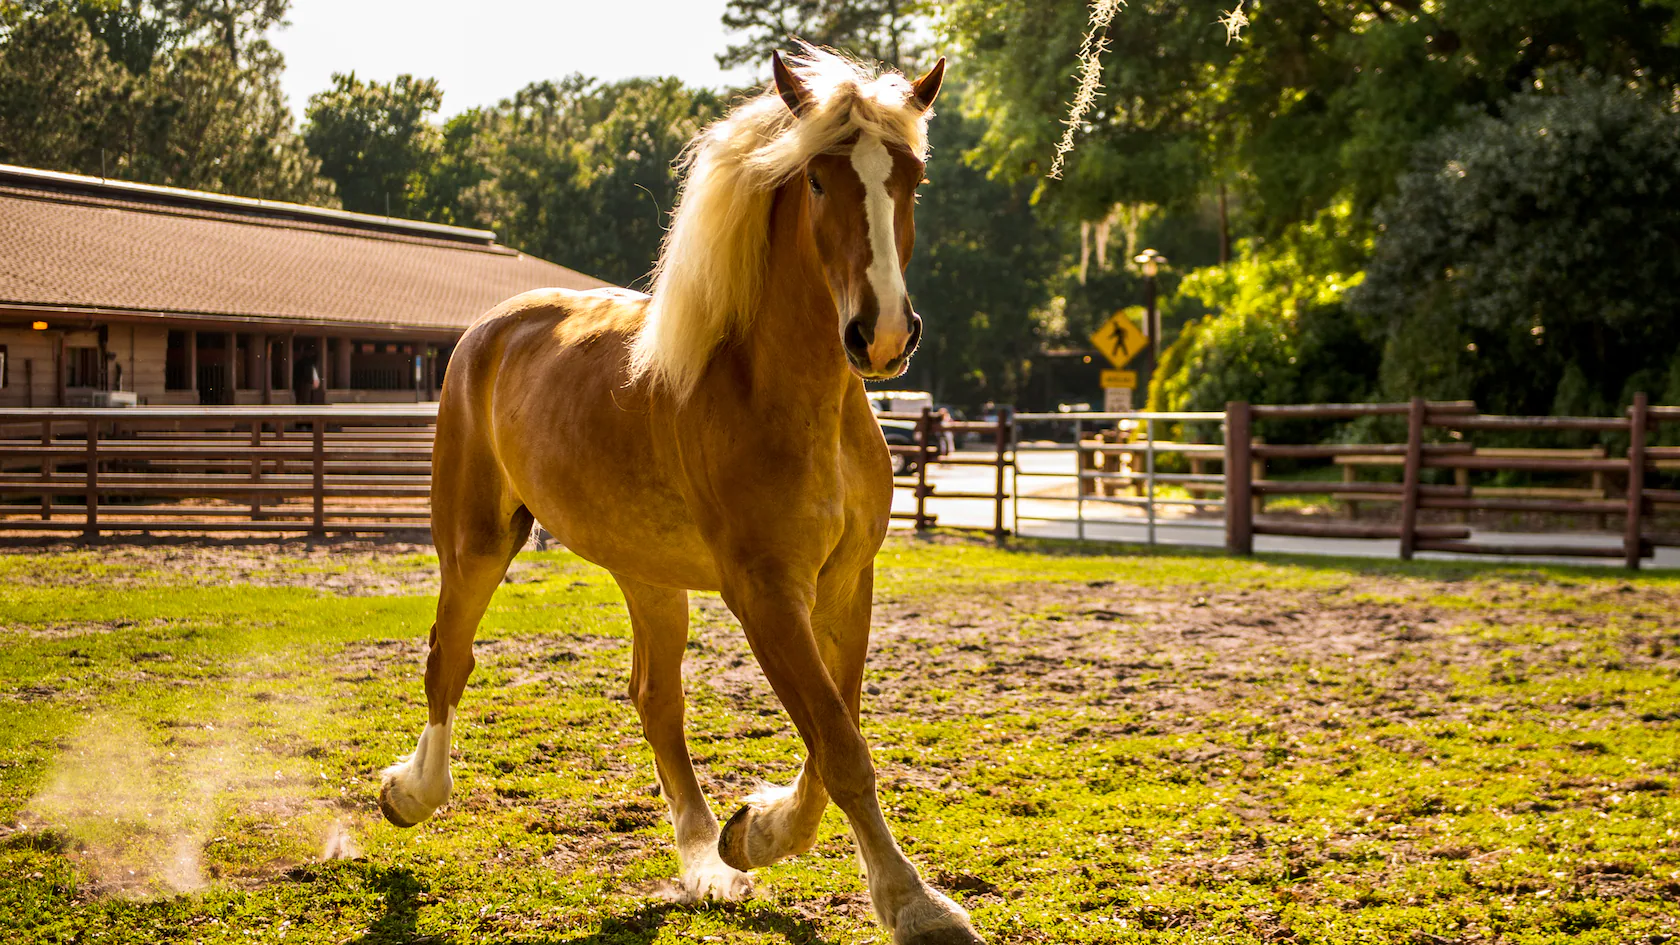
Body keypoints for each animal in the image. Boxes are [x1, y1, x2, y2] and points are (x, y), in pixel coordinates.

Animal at [376, 48, 982, 944]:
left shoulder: (845, 582)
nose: (879, 335)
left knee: (655, 700)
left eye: (910, 178)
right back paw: (411, 793)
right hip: (476, 541)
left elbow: (833, 731)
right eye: (819, 180)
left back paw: (703, 859)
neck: (785, 394)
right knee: (448, 660)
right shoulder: (764, 591)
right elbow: (840, 745)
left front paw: (753, 833)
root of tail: (490, 330)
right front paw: (915, 903)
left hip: (650, 576)